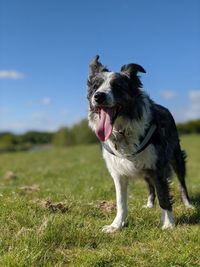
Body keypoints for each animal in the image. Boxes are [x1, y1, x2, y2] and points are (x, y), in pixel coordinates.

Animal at [86, 55, 193, 233]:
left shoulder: (158, 167)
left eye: (117, 86)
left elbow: (164, 195)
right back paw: (149, 204)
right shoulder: (118, 173)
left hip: (176, 158)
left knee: (181, 183)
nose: (98, 96)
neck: (123, 131)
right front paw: (116, 225)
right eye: (95, 86)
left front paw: (168, 224)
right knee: (150, 185)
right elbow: (121, 201)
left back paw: (189, 204)